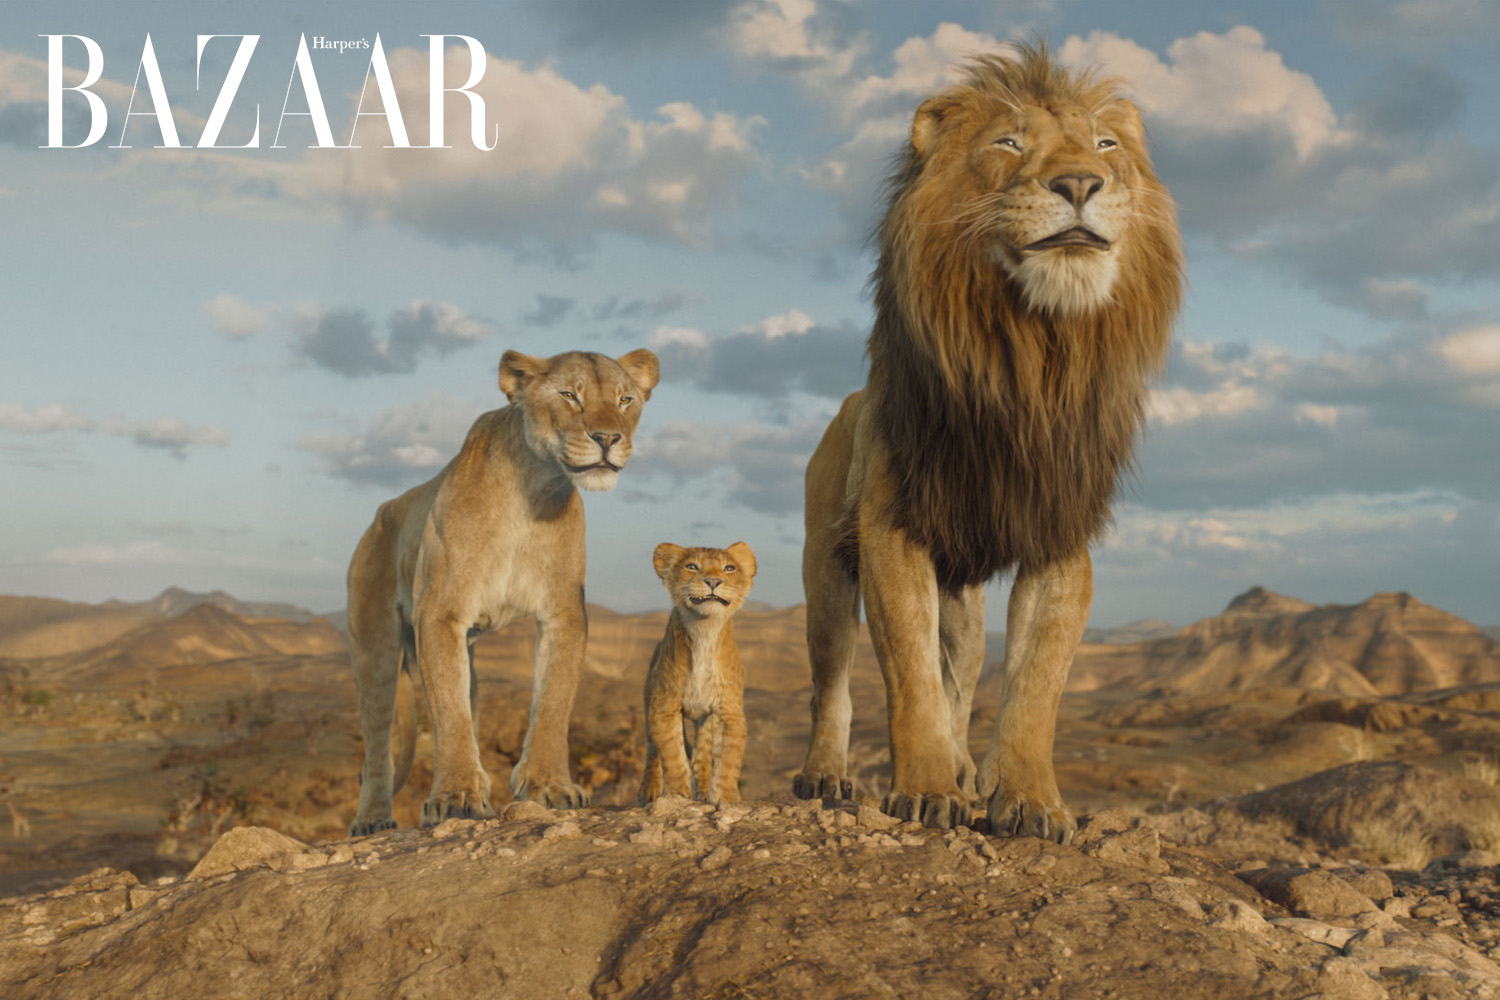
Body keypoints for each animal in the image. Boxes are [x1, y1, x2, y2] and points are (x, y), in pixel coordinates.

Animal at [347, 347, 660, 835]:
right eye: (569, 395)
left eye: (625, 399)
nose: (608, 438)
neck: (533, 488)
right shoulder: (440, 613)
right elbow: (449, 714)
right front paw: (455, 797)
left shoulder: (563, 613)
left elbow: (552, 702)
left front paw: (550, 786)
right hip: (375, 649)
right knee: (378, 744)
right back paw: (372, 820)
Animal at [638, 541, 756, 806]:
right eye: (692, 566)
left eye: (729, 568)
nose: (713, 581)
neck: (704, 630)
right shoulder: (664, 708)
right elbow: (672, 755)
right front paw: (677, 795)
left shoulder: (729, 711)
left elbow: (728, 759)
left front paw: (726, 798)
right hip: (649, 702)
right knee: (651, 749)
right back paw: (648, 791)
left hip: (705, 720)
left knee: (702, 755)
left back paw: (702, 791)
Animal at [792, 45, 1183, 842]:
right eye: (1008, 143)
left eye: (1106, 146)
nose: (1080, 184)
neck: (1031, 356)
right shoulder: (892, 530)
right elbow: (909, 677)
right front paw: (925, 789)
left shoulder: (1059, 535)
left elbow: (1036, 684)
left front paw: (1029, 801)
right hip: (825, 569)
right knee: (833, 681)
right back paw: (826, 775)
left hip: (963, 601)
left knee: (962, 677)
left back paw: (966, 767)